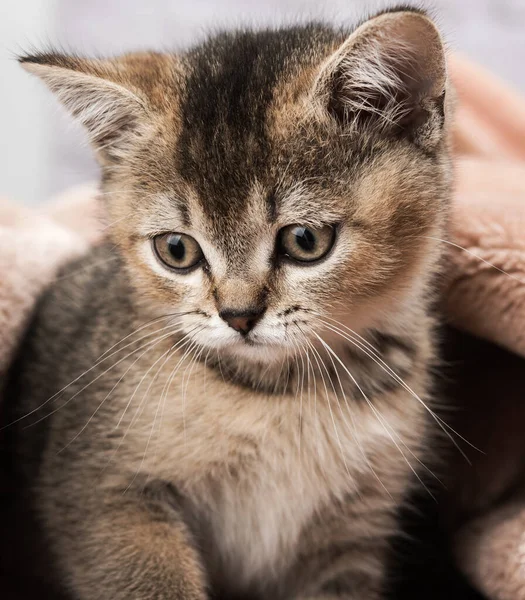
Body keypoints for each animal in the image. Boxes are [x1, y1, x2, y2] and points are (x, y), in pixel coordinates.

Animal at [4, 5, 450, 600]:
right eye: (176, 250)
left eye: (305, 240)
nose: (238, 315)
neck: (290, 391)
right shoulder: (100, 489)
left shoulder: (352, 532)